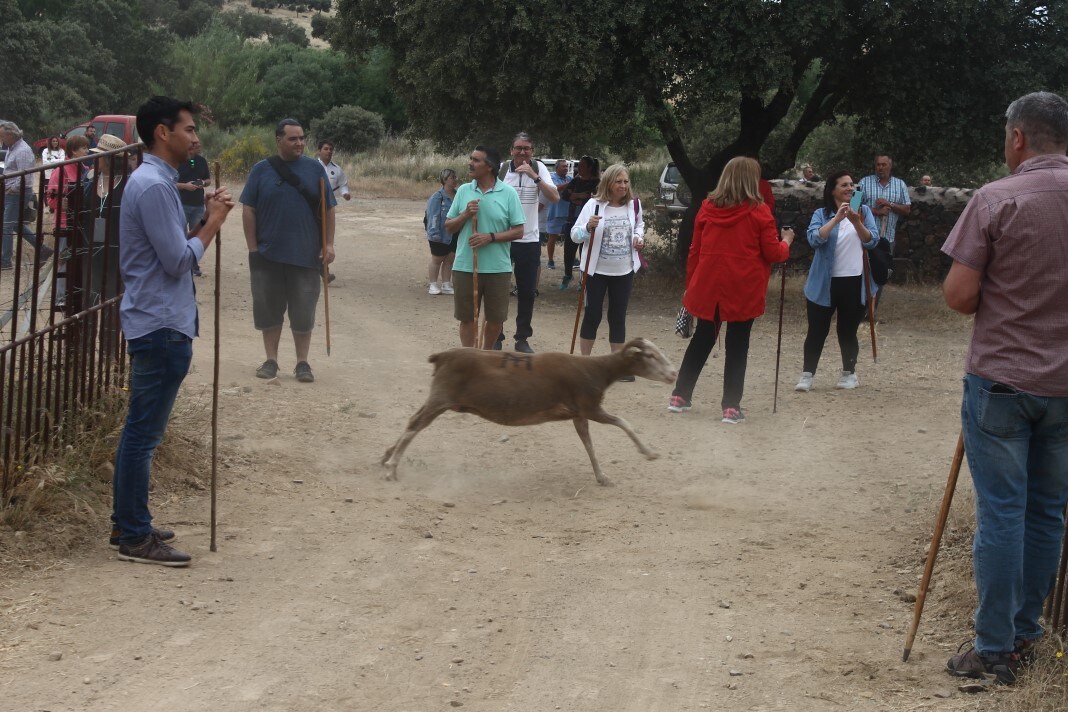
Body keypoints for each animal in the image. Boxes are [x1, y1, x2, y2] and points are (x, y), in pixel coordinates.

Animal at [382, 339, 674, 484]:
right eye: (649, 356)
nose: (672, 374)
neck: (598, 370)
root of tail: (442, 356)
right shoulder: (590, 407)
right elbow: (624, 423)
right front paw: (649, 453)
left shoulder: (579, 414)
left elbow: (588, 444)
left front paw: (601, 477)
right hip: (441, 398)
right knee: (415, 425)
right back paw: (392, 468)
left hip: (439, 397)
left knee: (412, 420)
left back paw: (386, 457)